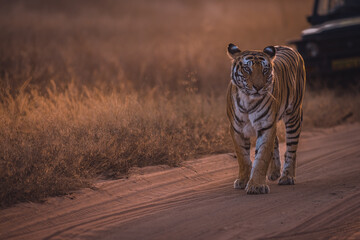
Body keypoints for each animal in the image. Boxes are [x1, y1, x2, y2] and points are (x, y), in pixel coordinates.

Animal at [226, 42, 306, 193]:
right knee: (276, 142)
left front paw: (256, 186)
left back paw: (287, 177)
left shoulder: (266, 126)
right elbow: (243, 157)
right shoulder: (237, 129)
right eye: (247, 69)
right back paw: (274, 172)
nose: (258, 87)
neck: (248, 100)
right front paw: (243, 180)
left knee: (291, 149)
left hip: (293, 116)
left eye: (265, 70)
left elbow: (261, 157)